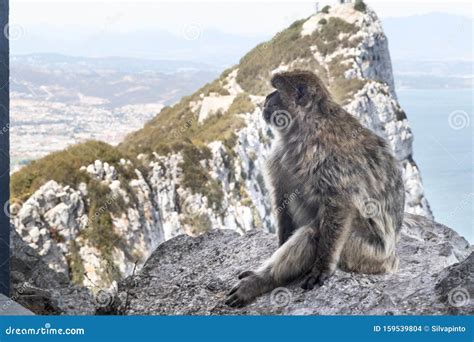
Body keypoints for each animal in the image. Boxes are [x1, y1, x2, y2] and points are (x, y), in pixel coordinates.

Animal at [226, 69, 404, 308]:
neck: (306, 127)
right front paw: (279, 245)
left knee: (313, 233)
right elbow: (283, 197)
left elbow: (339, 203)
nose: (266, 98)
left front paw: (322, 267)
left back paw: (260, 281)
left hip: (366, 255)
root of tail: (391, 260)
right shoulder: (279, 156)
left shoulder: (329, 157)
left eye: (277, 89)